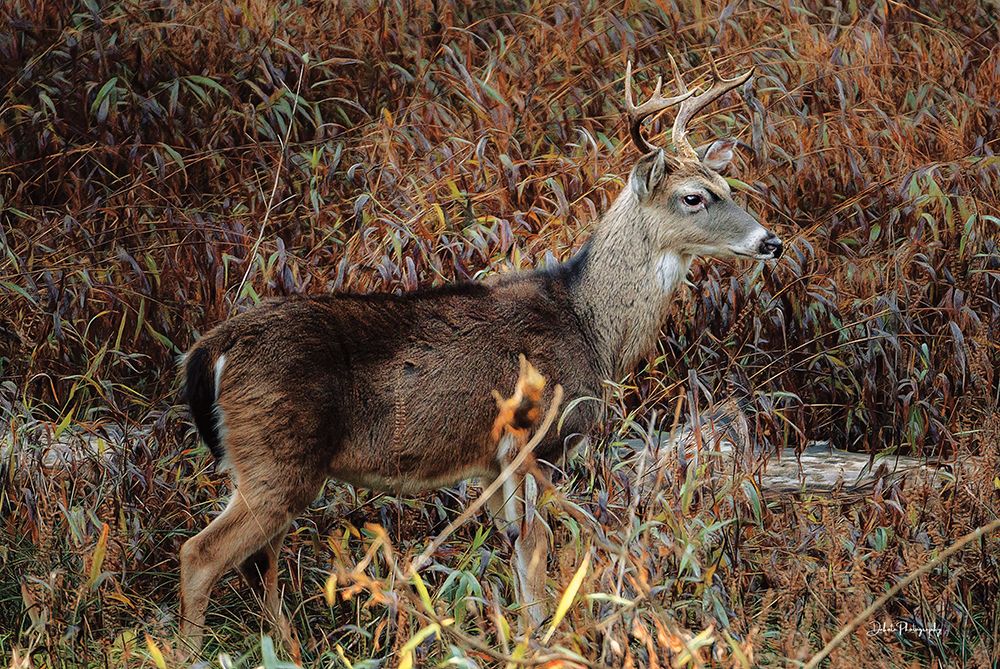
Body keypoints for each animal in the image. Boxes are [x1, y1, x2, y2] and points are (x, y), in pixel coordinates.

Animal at [176, 54, 782, 655]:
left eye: (726, 183)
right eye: (694, 197)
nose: (771, 242)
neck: (590, 326)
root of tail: (210, 350)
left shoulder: (492, 462)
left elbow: (515, 549)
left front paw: (524, 638)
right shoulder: (536, 438)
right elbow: (537, 547)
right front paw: (544, 643)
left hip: (260, 464)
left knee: (259, 563)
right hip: (279, 459)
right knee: (200, 555)